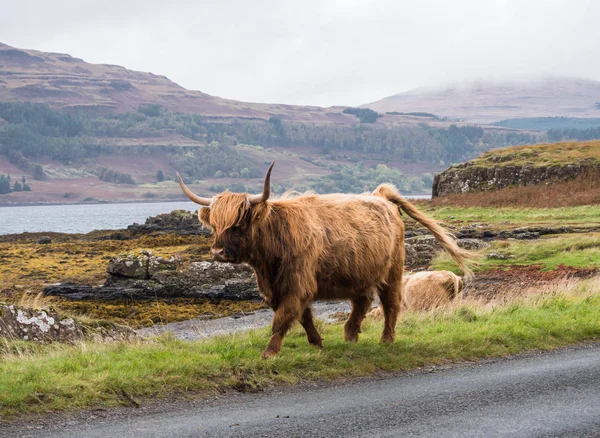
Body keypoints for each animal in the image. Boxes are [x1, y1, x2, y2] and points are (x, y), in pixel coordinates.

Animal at [177, 163, 474, 358]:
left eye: (238, 223)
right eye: (214, 225)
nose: (217, 252)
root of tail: (378, 195)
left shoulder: (298, 283)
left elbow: (283, 318)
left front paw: (269, 353)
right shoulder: (277, 287)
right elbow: (302, 316)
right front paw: (317, 342)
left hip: (393, 269)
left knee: (391, 304)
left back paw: (386, 340)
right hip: (359, 271)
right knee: (362, 301)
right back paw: (350, 334)